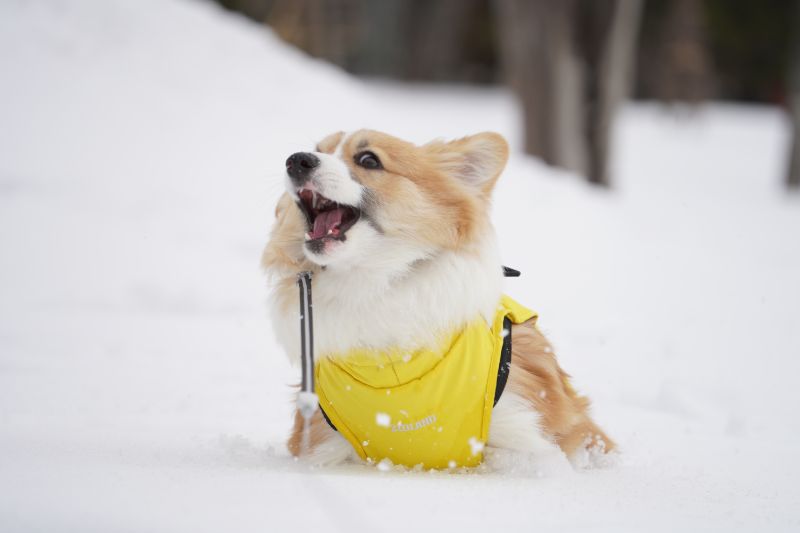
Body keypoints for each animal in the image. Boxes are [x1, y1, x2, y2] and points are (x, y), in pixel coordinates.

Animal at [260, 130, 612, 470]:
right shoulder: (323, 440)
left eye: (368, 160)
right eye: (319, 149)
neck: (372, 284)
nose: (297, 160)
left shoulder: (530, 430)